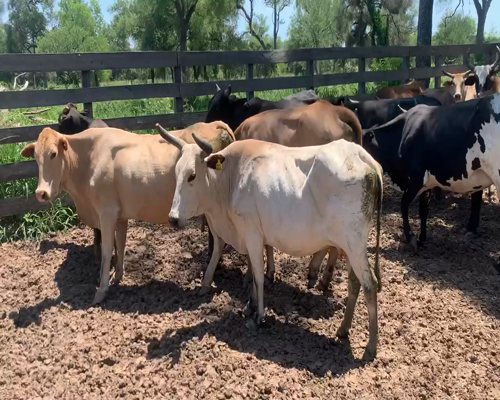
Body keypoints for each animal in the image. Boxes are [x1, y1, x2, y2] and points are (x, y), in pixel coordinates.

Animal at [20, 122, 235, 304]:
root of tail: (215, 124)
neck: (88, 157)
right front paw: (117, 277)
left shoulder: (106, 213)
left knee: (219, 241)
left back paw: (206, 282)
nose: (41, 193)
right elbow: (121, 245)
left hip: (211, 211)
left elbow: (107, 251)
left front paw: (101, 290)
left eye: (53, 154)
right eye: (36, 157)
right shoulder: (120, 215)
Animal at [158, 124, 384, 360]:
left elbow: (258, 276)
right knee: (355, 282)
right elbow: (251, 273)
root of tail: (361, 156)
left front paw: (259, 316)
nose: (173, 218)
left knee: (370, 285)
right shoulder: (249, 235)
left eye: (192, 176)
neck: (230, 177)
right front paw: (249, 306)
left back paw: (370, 347)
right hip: (349, 246)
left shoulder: (252, 234)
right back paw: (343, 329)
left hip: (354, 244)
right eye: (176, 174)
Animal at [362, 93, 500, 253]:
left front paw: (411, 237)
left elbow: (404, 204)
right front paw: (421, 238)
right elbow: (423, 210)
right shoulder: (426, 184)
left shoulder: (416, 178)